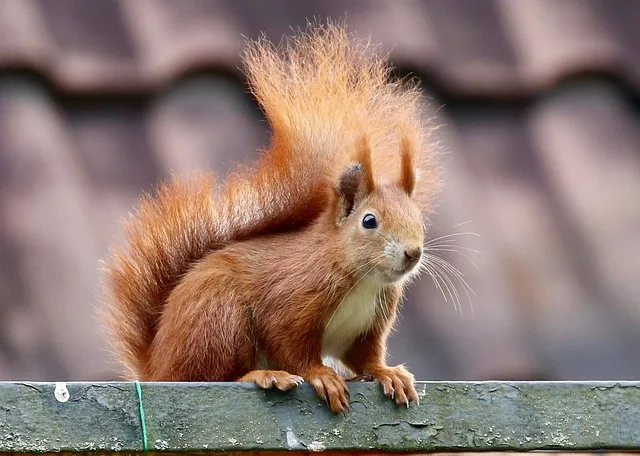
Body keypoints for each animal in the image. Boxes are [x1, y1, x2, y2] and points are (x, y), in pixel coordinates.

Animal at [100, 22, 440, 414]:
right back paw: (264, 375)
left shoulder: (369, 324)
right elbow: (292, 348)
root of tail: (158, 366)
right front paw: (322, 375)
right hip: (219, 318)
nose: (413, 253)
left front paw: (387, 373)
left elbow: (365, 356)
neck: (361, 278)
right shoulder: (291, 302)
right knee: (215, 375)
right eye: (369, 221)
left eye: (418, 218)